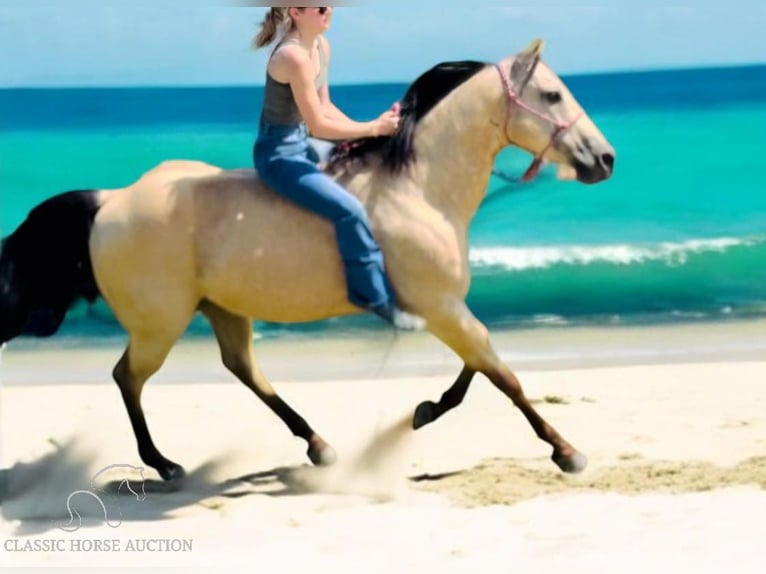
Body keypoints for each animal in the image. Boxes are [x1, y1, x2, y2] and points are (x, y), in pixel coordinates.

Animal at [0, 39, 616, 482]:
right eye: (553, 95)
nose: (605, 159)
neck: (416, 188)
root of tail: (111, 202)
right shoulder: (441, 308)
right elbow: (501, 374)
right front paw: (567, 452)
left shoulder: (445, 308)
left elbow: (476, 369)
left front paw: (424, 410)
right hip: (160, 325)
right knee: (128, 377)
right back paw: (166, 464)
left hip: (222, 309)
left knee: (243, 368)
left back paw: (318, 445)